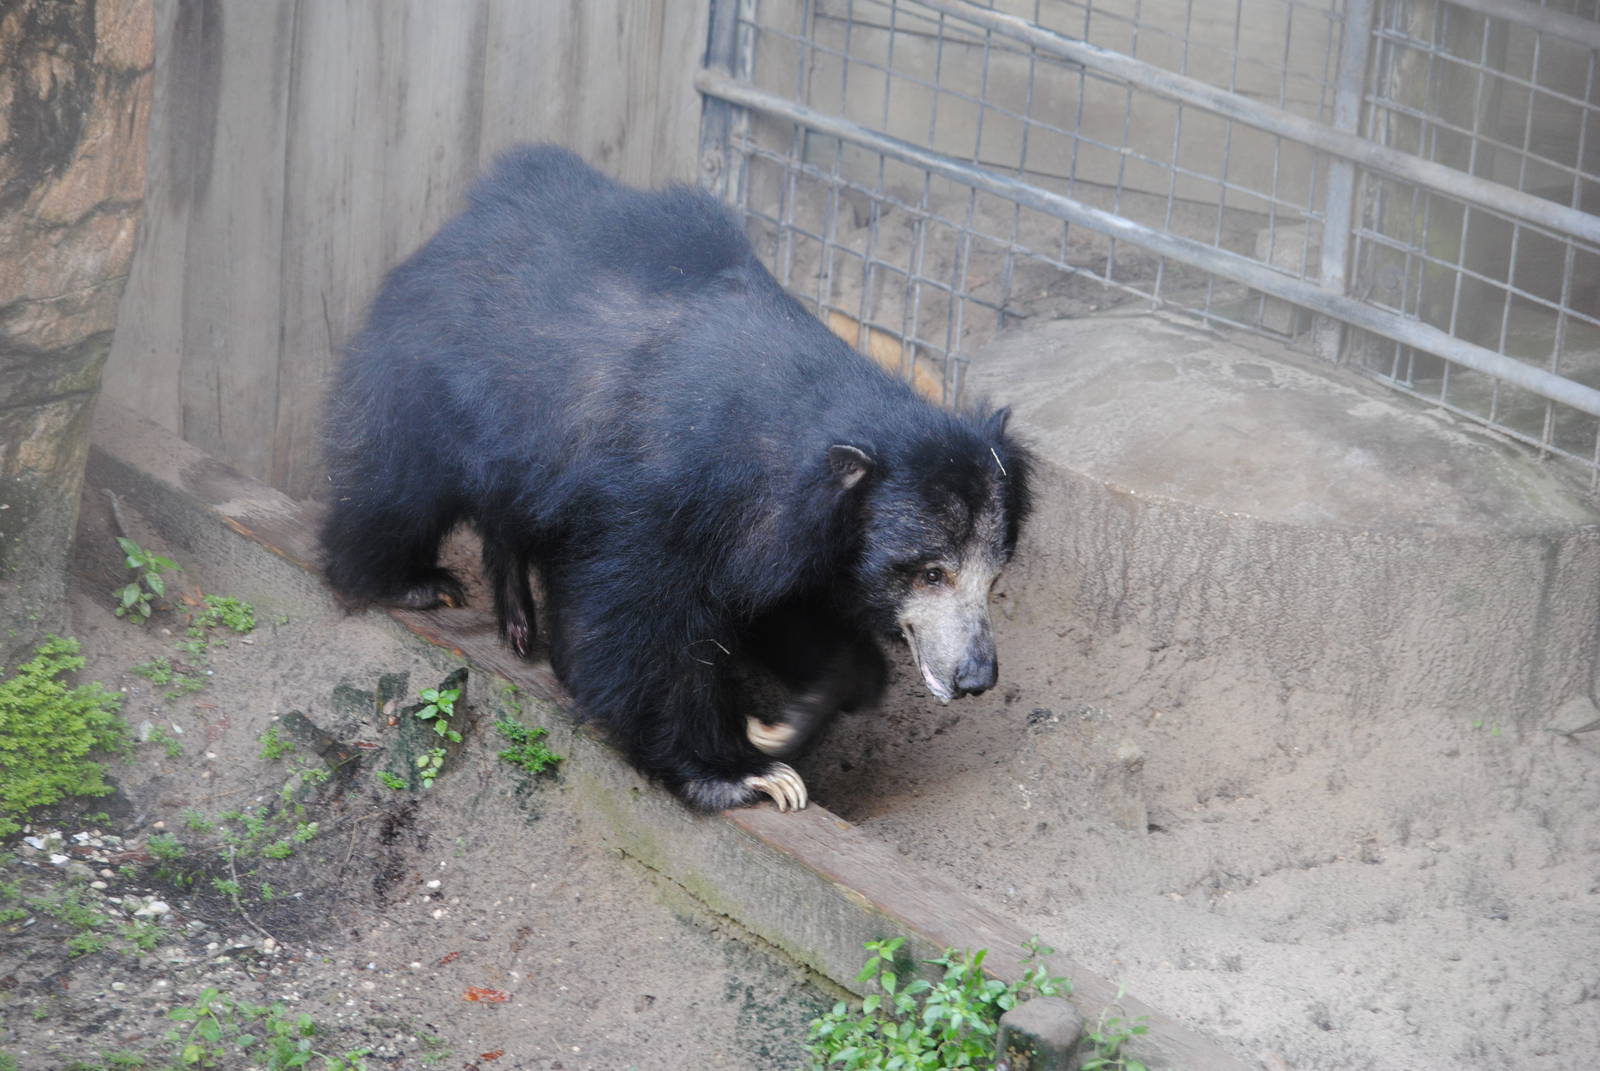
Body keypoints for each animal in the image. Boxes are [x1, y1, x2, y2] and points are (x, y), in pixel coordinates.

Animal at [320, 146, 1030, 812]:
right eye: (931, 572)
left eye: (993, 578)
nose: (975, 678)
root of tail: (475, 211)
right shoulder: (665, 497)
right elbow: (640, 626)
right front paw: (747, 774)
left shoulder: (788, 538)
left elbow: (779, 611)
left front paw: (787, 722)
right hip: (428, 374)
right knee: (397, 480)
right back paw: (410, 583)